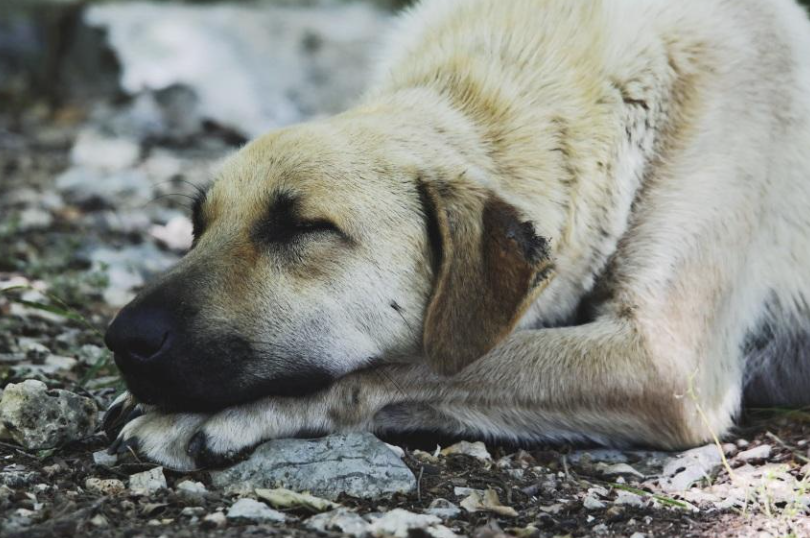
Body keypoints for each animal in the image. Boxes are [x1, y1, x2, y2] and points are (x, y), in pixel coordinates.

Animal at [101, 0, 808, 468]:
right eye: (198, 226)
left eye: (304, 227)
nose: (122, 338)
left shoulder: (665, 361)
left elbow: (410, 366)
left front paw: (223, 414)